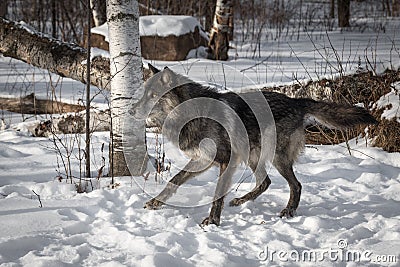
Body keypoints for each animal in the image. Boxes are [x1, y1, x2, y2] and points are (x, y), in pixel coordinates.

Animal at [132, 64, 378, 226]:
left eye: (152, 95)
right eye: (143, 94)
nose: (131, 110)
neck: (193, 114)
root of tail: (296, 101)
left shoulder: (225, 161)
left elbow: (218, 193)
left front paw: (212, 221)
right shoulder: (202, 160)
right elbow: (174, 181)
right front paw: (155, 202)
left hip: (277, 159)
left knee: (296, 185)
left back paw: (288, 211)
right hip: (253, 156)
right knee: (266, 182)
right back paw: (241, 200)